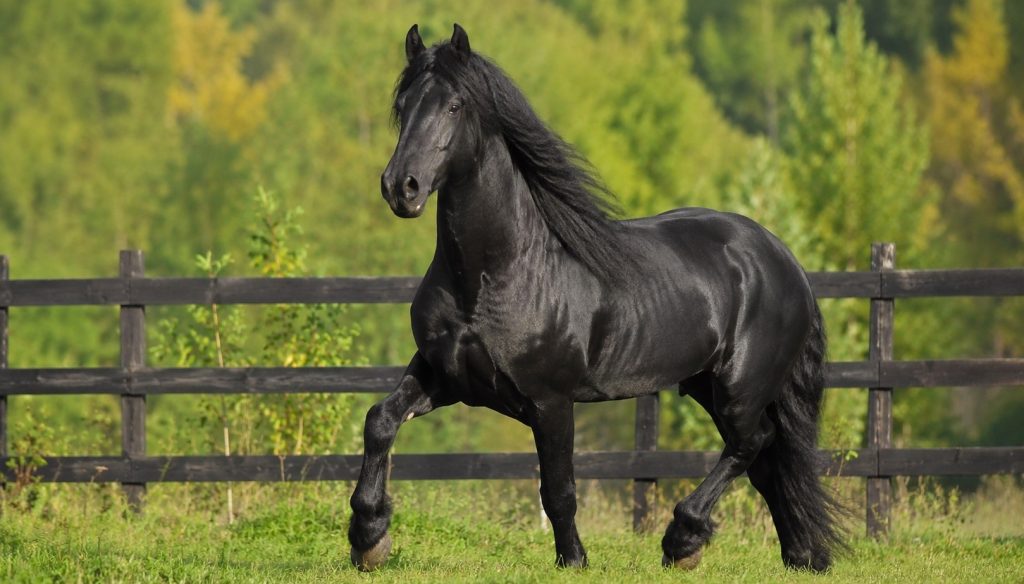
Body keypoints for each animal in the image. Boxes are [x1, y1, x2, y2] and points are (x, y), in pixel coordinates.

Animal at [349, 23, 844, 572]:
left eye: (455, 105)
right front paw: (368, 537)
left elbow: (559, 489)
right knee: (768, 461)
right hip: (706, 385)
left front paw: (573, 560)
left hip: (741, 388)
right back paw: (800, 555)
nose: (401, 187)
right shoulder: (444, 376)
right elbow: (379, 421)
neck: (494, 275)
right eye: (403, 103)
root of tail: (784, 260)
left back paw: (683, 541)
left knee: (751, 444)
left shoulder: (550, 400)